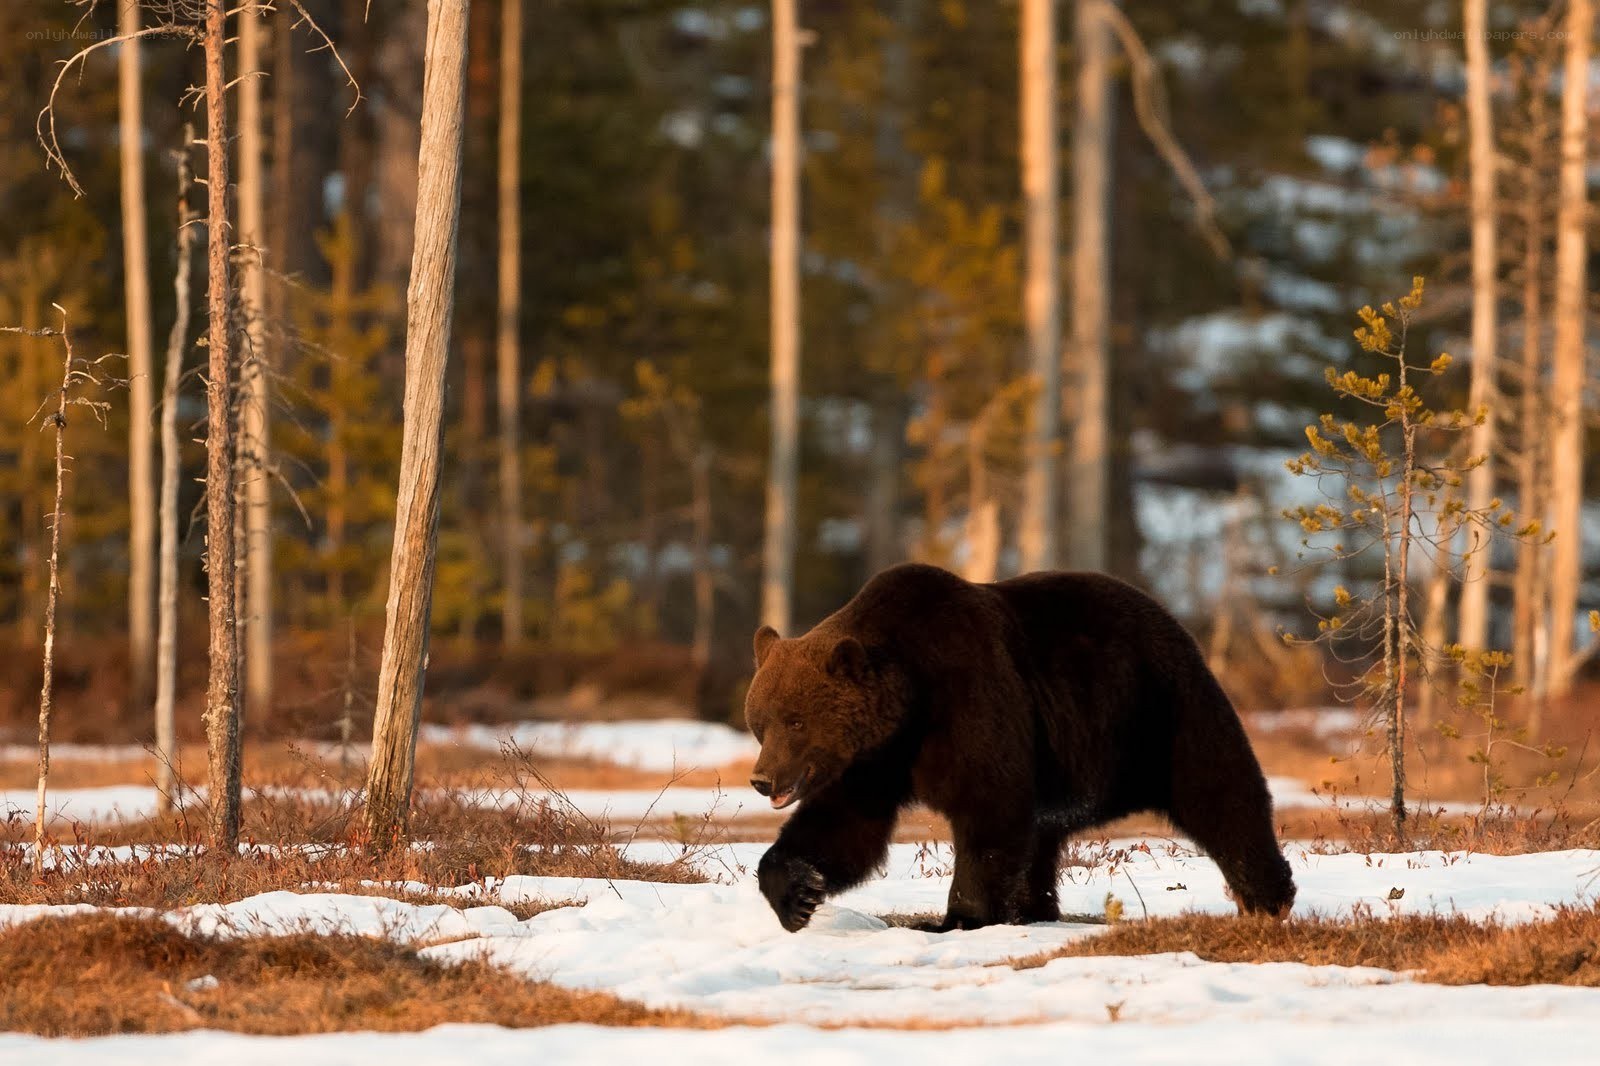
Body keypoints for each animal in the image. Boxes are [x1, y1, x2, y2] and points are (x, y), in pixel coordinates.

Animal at [743, 562, 1295, 932]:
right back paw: (1035, 909)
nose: (762, 779)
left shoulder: (969, 699)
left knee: (1220, 792)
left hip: (1161, 710)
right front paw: (797, 895)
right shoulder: (874, 763)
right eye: (760, 722)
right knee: (1042, 839)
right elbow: (846, 829)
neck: (909, 706)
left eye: (796, 720)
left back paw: (1267, 899)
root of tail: (1167, 612)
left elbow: (989, 807)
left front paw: (957, 918)